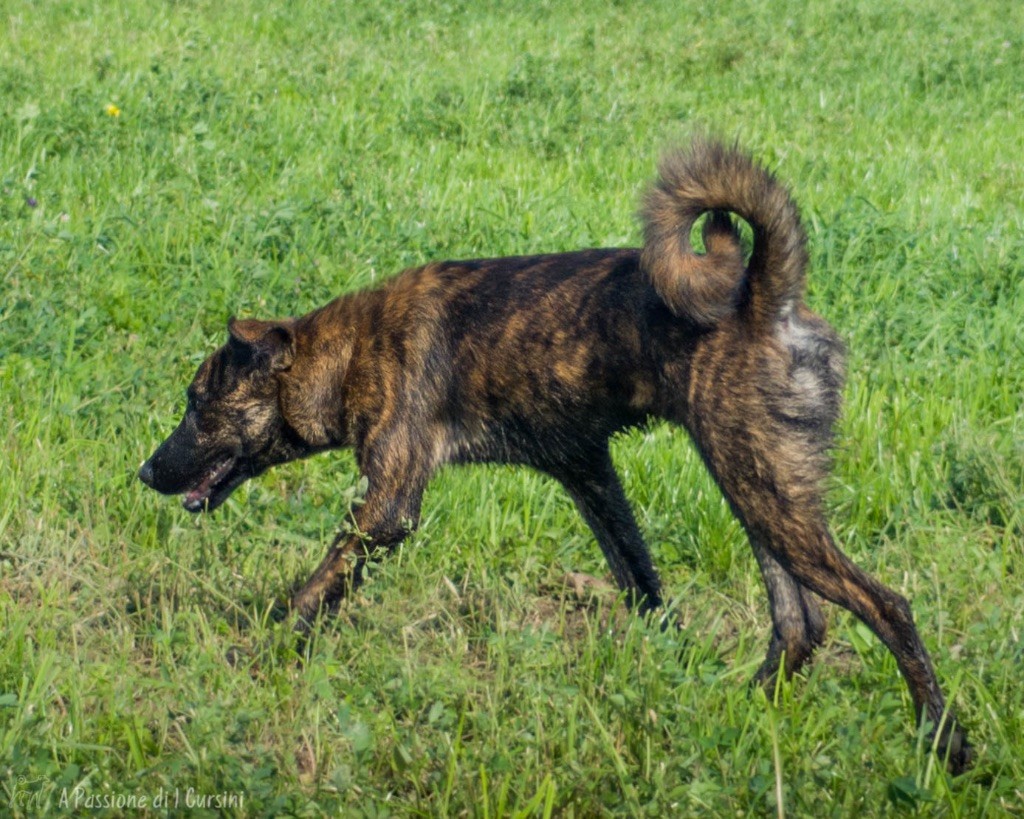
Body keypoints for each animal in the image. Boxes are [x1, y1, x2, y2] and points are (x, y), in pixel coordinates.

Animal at [140, 137, 970, 769]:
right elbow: (643, 585)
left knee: (886, 603)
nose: (145, 470)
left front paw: (254, 655)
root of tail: (763, 295)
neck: (348, 352)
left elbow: (311, 593)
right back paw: (743, 707)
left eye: (196, 401)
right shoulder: (586, 472)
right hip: (756, 483)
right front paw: (668, 681)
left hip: (760, 487)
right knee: (801, 622)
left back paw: (945, 743)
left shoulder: (388, 507)